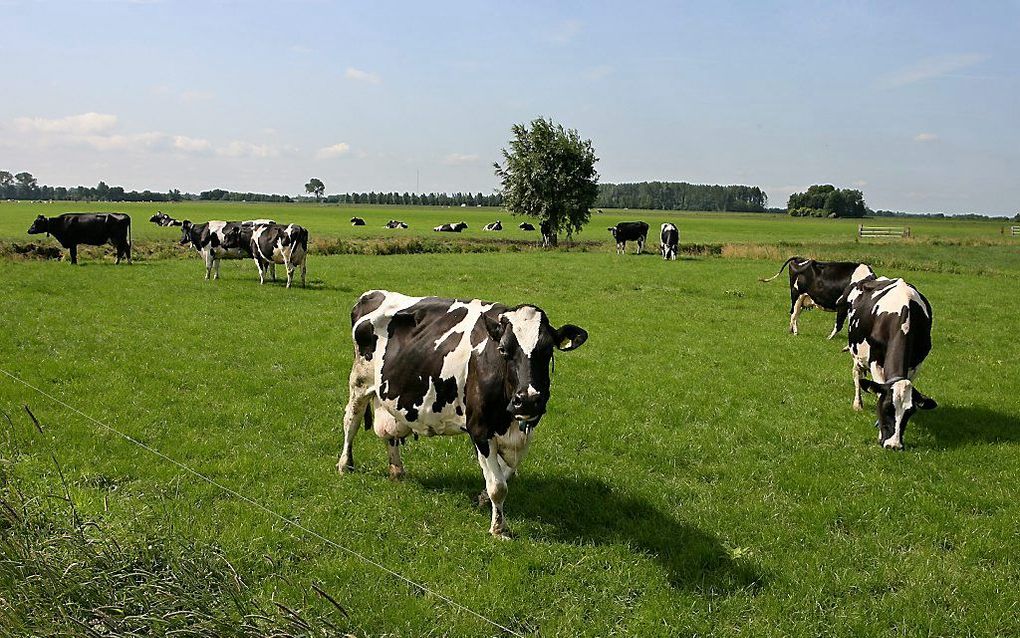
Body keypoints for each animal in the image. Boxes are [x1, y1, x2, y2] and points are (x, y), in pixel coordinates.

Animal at [338, 291, 587, 534]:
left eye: (547, 350)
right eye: (503, 349)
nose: (527, 400)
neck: (509, 422)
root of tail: (371, 294)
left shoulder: (526, 428)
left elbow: (506, 473)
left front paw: (483, 499)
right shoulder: (480, 429)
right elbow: (498, 486)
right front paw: (499, 529)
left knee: (391, 434)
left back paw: (397, 471)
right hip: (359, 382)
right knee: (351, 421)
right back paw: (345, 465)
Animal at [836, 277, 934, 447]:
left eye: (910, 412)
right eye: (886, 407)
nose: (893, 445)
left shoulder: (916, 364)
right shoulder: (875, 361)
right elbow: (878, 390)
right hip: (856, 352)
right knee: (857, 375)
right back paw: (858, 404)